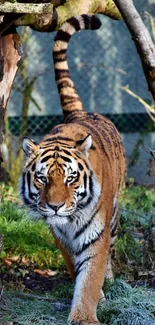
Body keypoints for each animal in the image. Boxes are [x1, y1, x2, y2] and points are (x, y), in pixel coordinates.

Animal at [19, 14, 126, 324]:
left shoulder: (97, 235)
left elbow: (90, 275)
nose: (55, 207)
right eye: (42, 179)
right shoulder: (61, 236)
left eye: (70, 178)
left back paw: (110, 281)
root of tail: (79, 113)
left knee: (111, 251)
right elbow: (76, 268)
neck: (70, 221)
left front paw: (84, 316)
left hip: (114, 217)